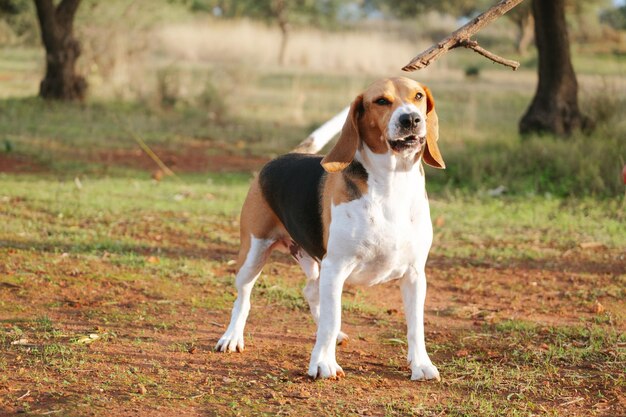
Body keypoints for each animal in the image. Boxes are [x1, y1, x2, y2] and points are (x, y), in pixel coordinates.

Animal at [214, 75, 444, 380]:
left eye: (418, 96)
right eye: (381, 101)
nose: (411, 119)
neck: (392, 182)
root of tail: (289, 154)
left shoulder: (415, 274)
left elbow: (416, 326)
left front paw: (421, 364)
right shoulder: (337, 267)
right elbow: (332, 318)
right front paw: (323, 363)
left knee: (311, 292)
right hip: (253, 253)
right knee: (244, 297)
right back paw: (232, 337)